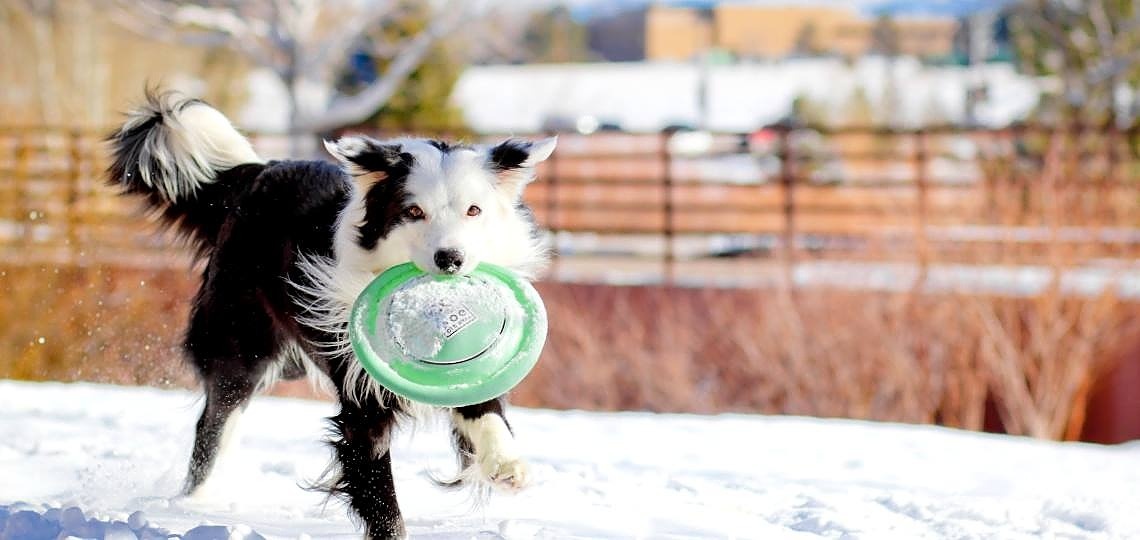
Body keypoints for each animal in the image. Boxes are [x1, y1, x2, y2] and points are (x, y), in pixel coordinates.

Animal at [104, 90, 558, 537]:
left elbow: (485, 410)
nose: (450, 259)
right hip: (240, 337)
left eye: (474, 211)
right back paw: (192, 504)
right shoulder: (361, 397)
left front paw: (508, 466)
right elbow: (380, 497)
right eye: (413, 212)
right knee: (216, 420)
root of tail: (258, 172)